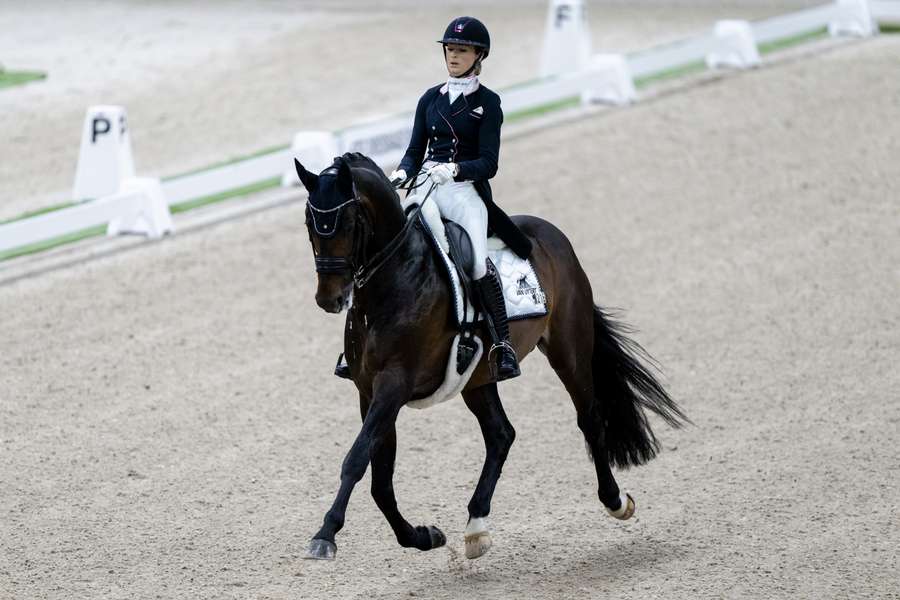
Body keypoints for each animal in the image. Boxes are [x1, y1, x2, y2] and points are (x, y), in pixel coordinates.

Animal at [298, 152, 688, 560]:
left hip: (569, 348)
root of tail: (550, 234)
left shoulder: (394, 385)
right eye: (310, 224)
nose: (329, 299)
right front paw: (423, 536)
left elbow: (357, 459)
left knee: (590, 419)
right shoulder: (369, 391)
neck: (395, 277)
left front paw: (325, 535)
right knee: (501, 434)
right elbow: (380, 481)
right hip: (478, 378)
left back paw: (616, 501)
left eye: (346, 223)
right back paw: (476, 526)